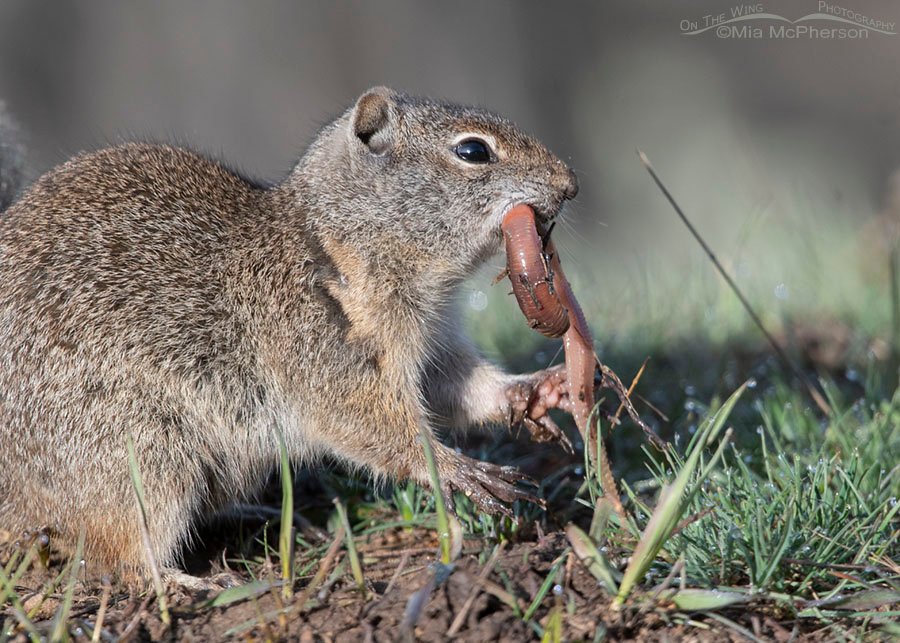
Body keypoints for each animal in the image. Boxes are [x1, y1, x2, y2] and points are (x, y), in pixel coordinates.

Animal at [0, 87, 579, 582]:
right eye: (473, 151)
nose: (570, 183)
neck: (342, 242)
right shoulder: (318, 346)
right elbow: (368, 425)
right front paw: (456, 468)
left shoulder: (431, 345)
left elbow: (458, 388)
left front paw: (536, 388)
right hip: (141, 453)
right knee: (116, 559)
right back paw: (183, 582)